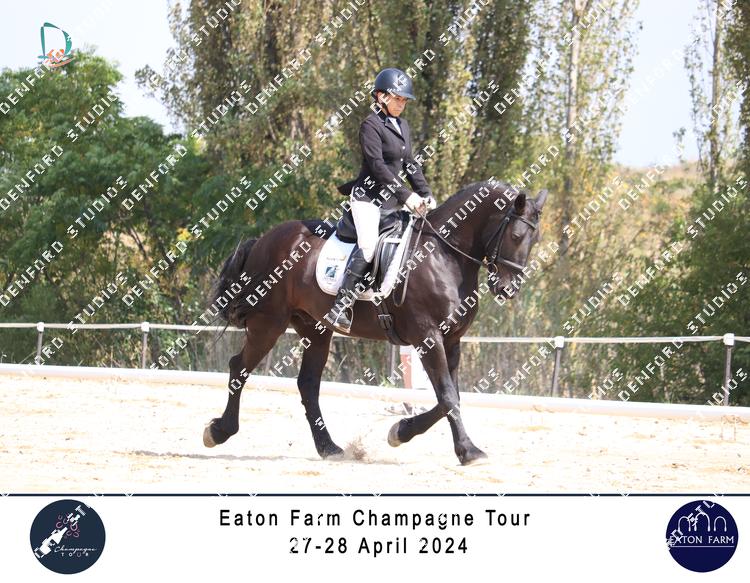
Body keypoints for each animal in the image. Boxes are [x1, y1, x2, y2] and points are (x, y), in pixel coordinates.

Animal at [203, 179, 548, 465]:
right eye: (516, 236)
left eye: (535, 239)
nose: (507, 289)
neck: (445, 256)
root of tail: (265, 239)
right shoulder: (428, 337)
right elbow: (448, 396)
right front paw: (469, 451)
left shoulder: (451, 340)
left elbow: (449, 397)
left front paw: (401, 431)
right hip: (269, 322)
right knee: (239, 367)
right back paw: (218, 432)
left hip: (315, 329)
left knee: (308, 384)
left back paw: (329, 447)